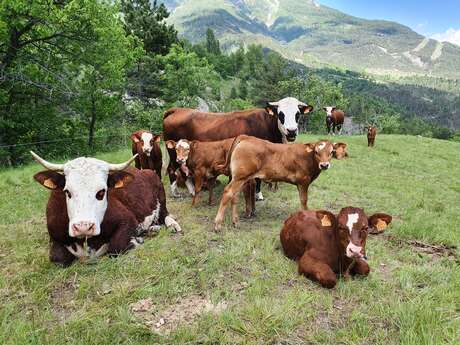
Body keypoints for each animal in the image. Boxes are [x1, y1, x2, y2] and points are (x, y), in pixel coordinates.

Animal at [30, 150, 181, 266]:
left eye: (102, 192)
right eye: (67, 191)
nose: (83, 226)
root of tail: (144, 171)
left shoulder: (128, 220)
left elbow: (116, 247)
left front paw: (136, 241)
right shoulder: (54, 236)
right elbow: (57, 258)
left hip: (160, 194)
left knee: (165, 215)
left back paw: (172, 226)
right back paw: (153, 229)